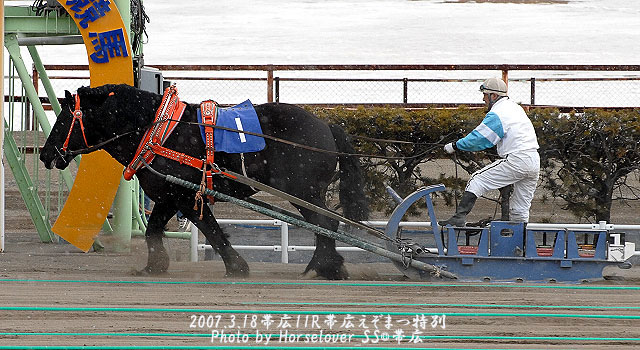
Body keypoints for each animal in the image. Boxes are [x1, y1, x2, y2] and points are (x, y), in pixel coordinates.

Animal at [40, 83, 368, 280]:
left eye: (62, 120)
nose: (45, 154)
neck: (157, 131)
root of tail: (327, 125)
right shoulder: (168, 196)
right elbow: (154, 230)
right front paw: (154, 266)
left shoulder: (185, 195)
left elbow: (211, 229)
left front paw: (236, 266)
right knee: (326, 225)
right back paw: (327, 265)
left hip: (304, 191)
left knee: (324, 224)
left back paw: (323, 266)